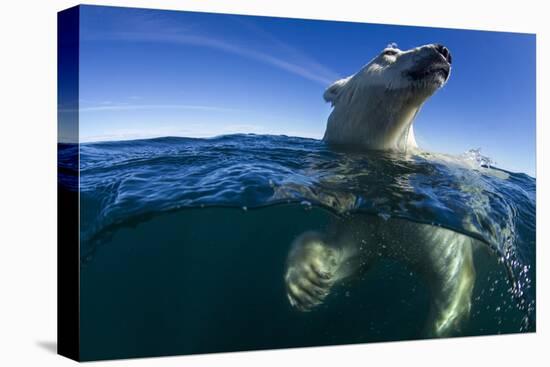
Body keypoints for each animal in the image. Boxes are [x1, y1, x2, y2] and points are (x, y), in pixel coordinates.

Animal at [286, 43, 476, 340]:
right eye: (389, 52)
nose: (443, 50)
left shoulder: (440, 234)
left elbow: (453, 284)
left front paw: (434, 329)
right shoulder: (363, 220)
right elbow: (352, 256)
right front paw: (306, 280)